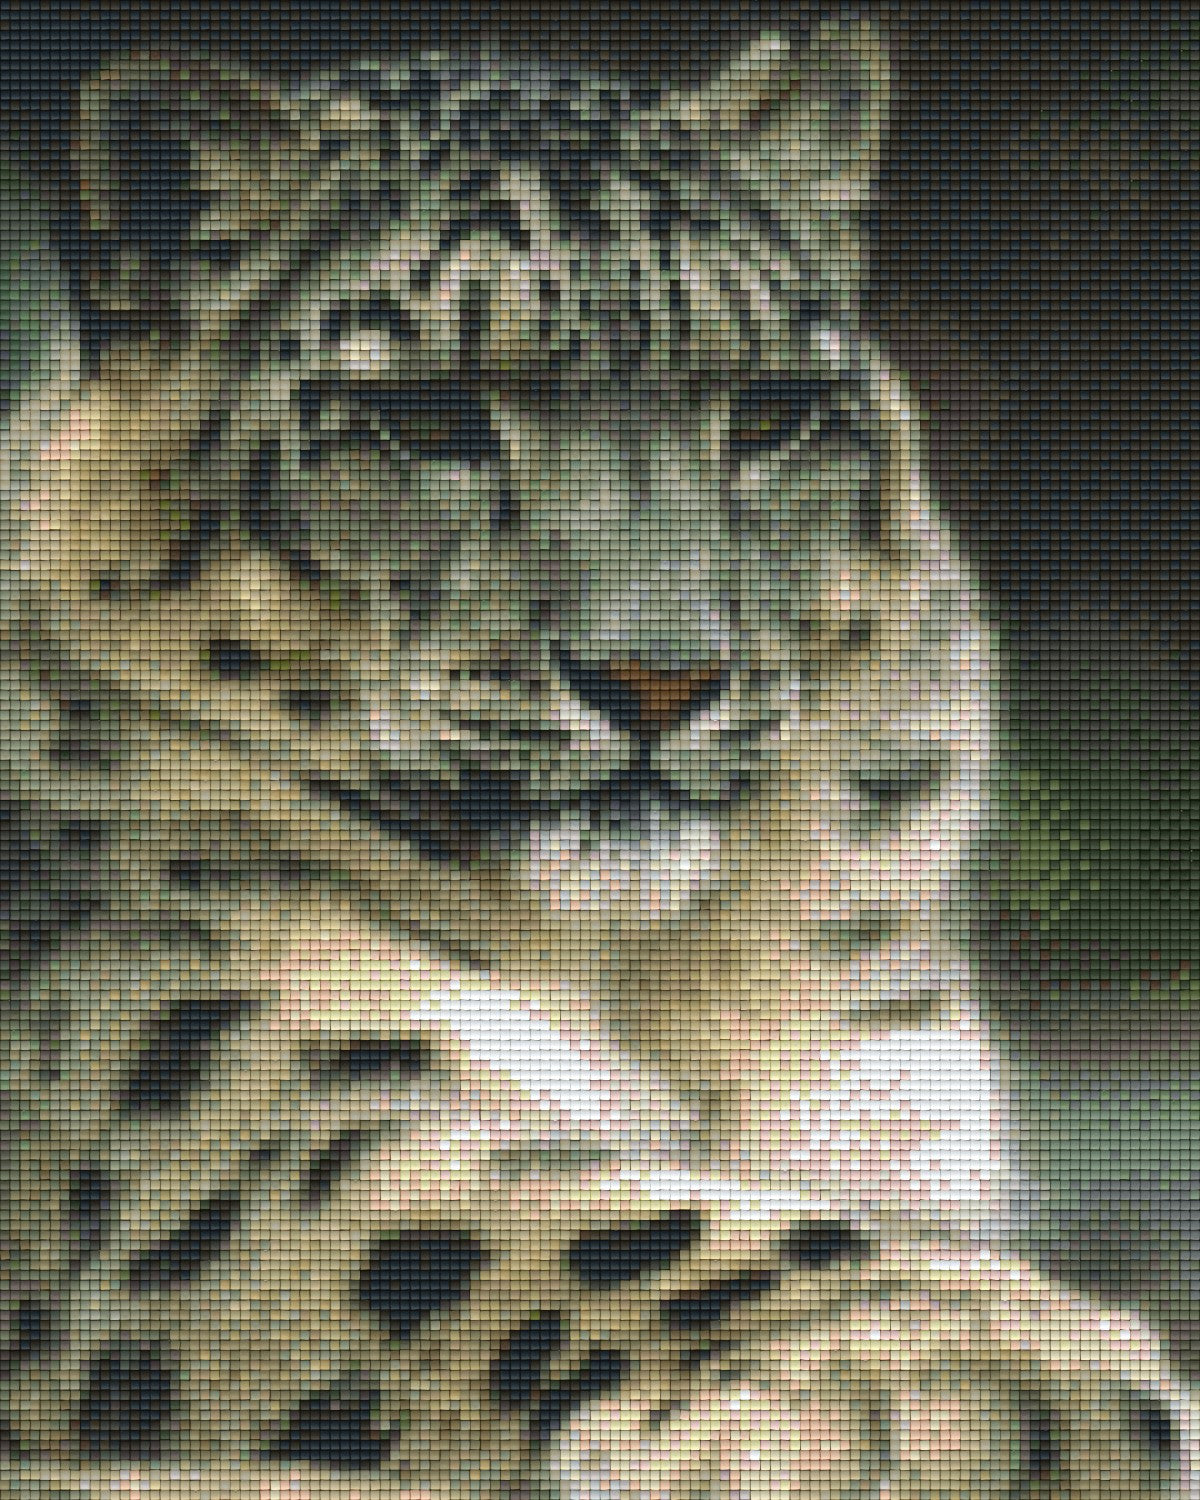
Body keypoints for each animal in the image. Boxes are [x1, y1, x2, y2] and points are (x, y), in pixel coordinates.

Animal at [0, 14, 1195, 1498]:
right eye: (426, 415)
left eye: (774, 410)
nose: (659, 675)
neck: (656, 977)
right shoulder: (224, 1096)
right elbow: (575, 1222)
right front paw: (994, 1370)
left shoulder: (889, 1102)